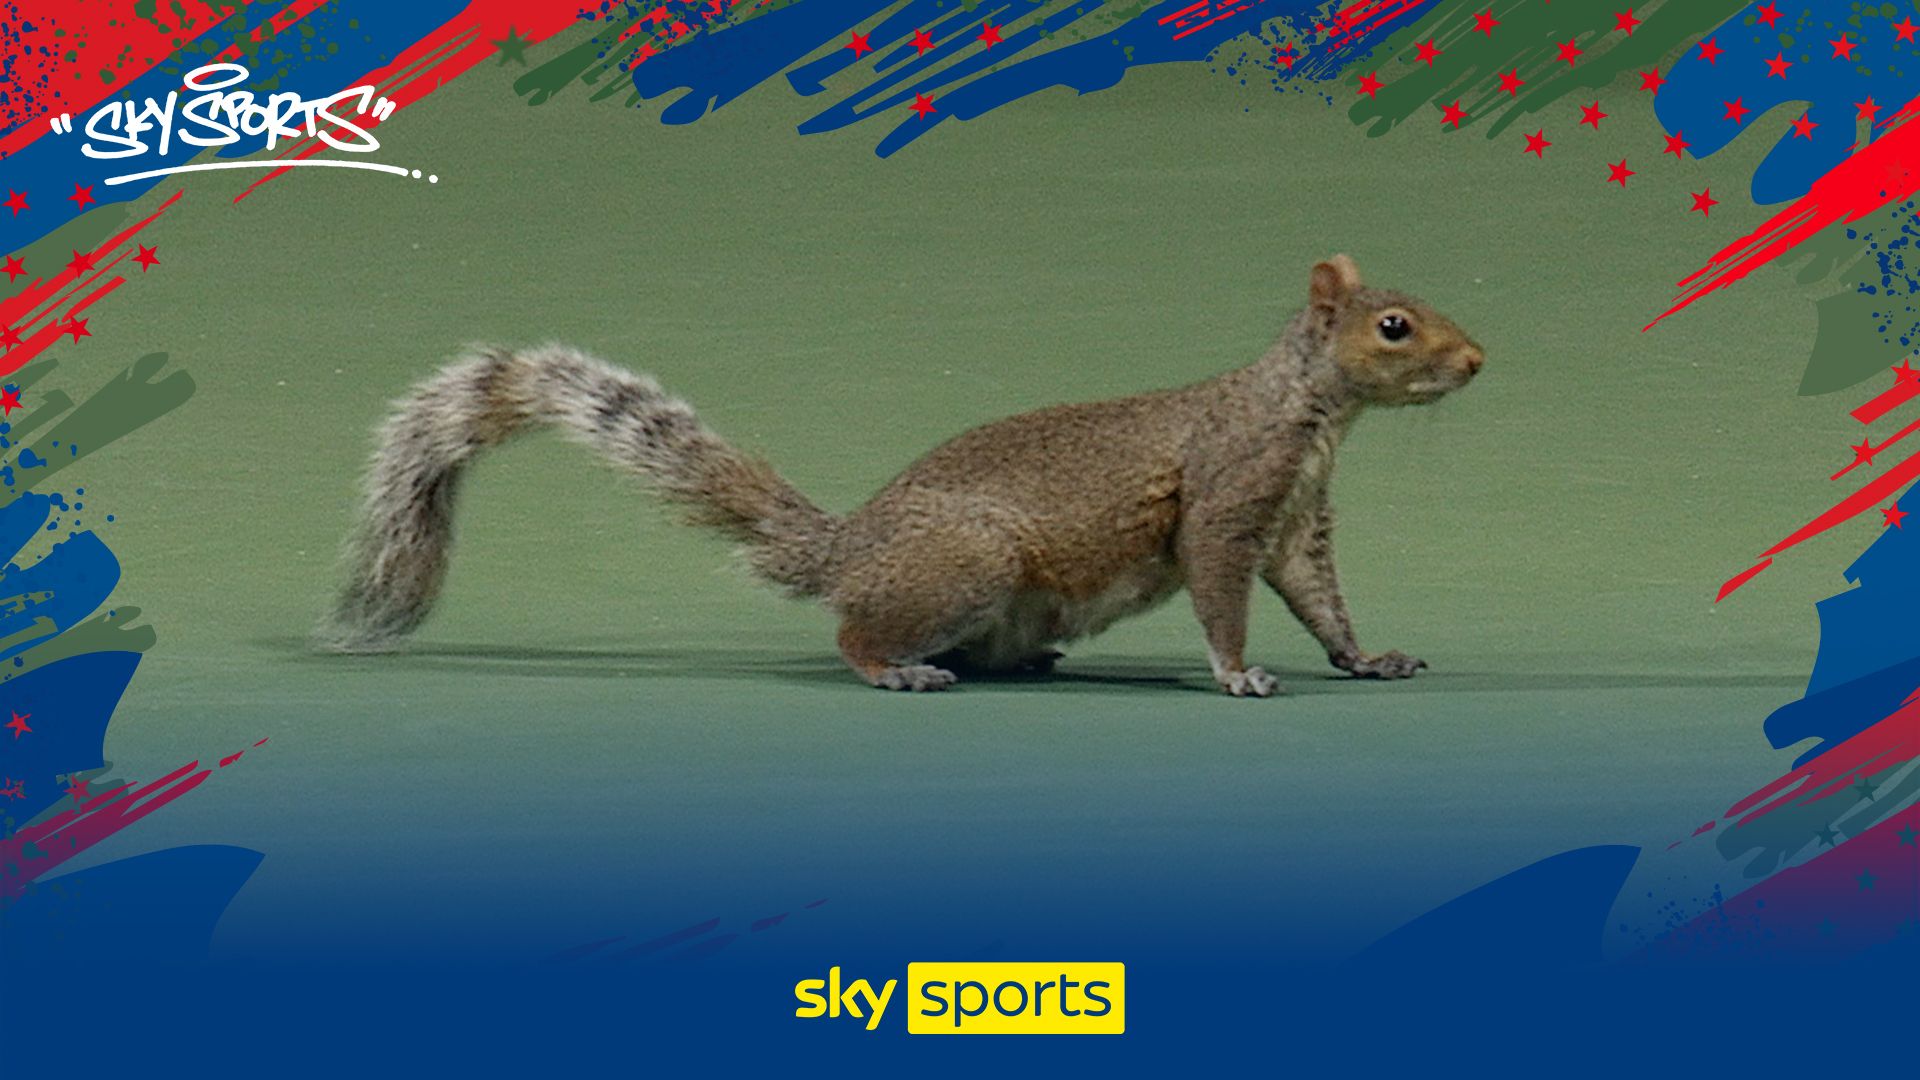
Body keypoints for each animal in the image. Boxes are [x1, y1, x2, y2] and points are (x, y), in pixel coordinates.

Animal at [325, 255, 1483, 696]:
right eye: (1394, 326)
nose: (1477, 361)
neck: (1311, 414)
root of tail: (847, 550)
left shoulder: (1295, 523)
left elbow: (1320, 599)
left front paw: (1368, 658)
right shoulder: (1226, 502)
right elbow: (1222, 596)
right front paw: (1238, 674)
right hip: (969, 563)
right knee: (853, 634)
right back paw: (898, 667)